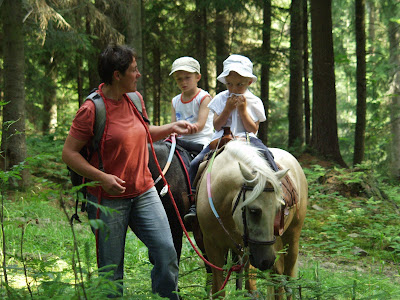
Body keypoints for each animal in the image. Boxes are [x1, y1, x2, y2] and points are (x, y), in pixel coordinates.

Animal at [195, 140, 308, 298]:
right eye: (254, 211)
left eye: (278, 209)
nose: (266, 261)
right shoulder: (212, 247)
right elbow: (218, 290)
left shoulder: (251, 252)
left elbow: (250, 288)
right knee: (277, 279)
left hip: (291, 239)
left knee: (288, 280)